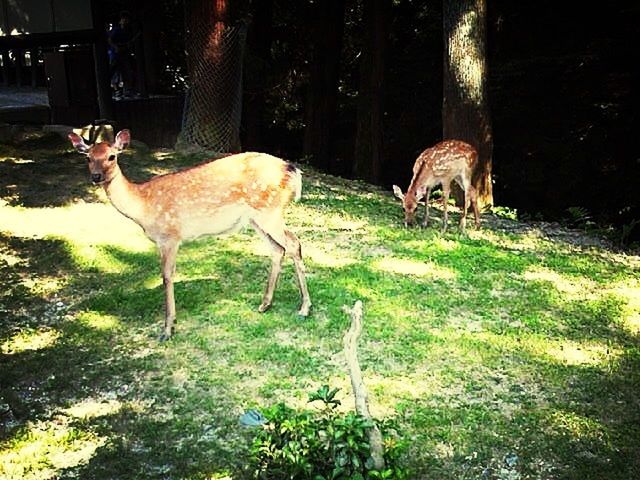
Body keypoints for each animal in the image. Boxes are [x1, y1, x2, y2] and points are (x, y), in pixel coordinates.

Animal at [69, 127, 312, 338]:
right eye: (88, 157)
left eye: (112, 156)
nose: (96, 176)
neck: (143, 205)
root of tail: (293, 171)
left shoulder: (169, 236)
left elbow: (167, 276)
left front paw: (168, 329)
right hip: (257, 218)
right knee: (277, 249)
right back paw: (265, 304)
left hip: (269, 211)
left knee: (294, 244)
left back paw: (304, 308)